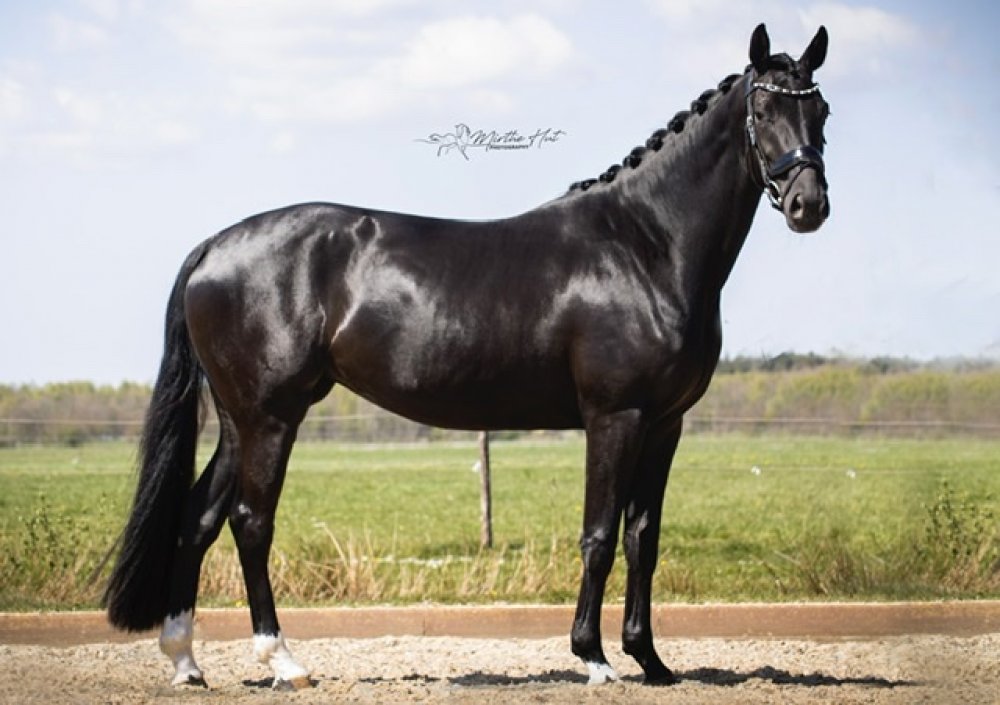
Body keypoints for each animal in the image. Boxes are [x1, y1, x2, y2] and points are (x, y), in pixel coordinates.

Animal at [104, 23, 831, 689]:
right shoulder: (615, 417)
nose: (809, 205)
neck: (643, 245)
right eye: (763, 110)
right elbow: (598, 535)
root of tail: (216, 245)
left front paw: (650, 661)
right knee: (250, 523)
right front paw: (593, 658)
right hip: (269, 417)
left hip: (238, 419)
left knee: (198, 519)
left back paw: (187, 663)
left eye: (819, 110)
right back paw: (283, 661)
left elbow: (642, 538)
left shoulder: (664, 423)